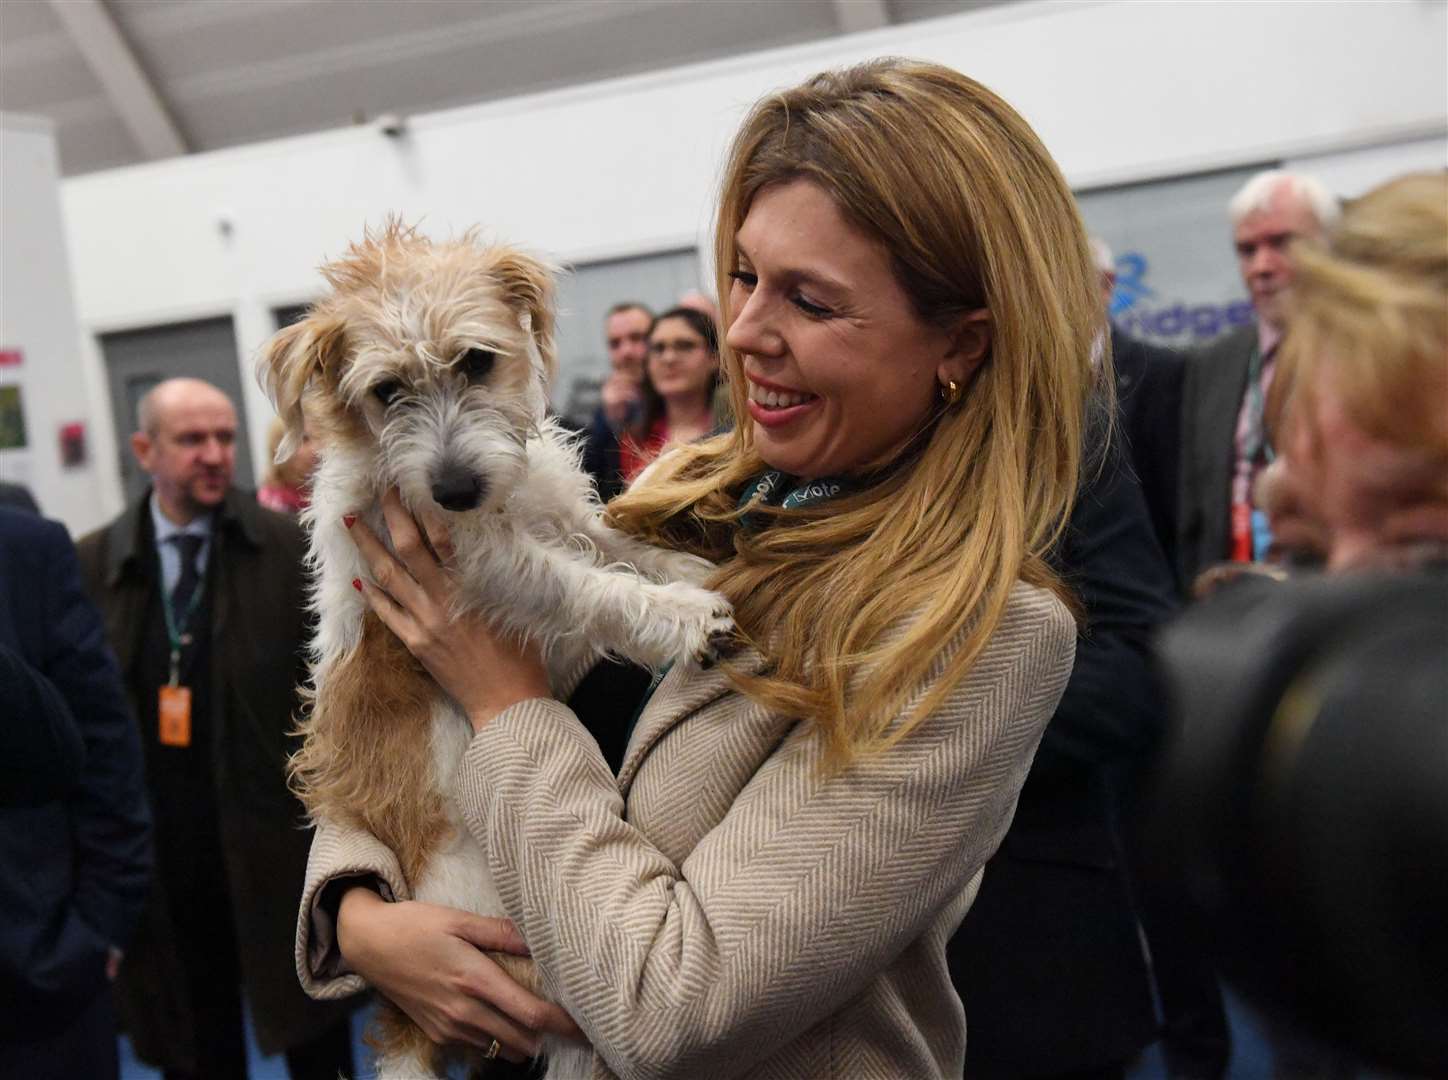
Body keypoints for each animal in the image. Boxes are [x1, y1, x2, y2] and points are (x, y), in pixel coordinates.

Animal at [259, 222, 729, 1071]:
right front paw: (681, 617)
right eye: (387, 392)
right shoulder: (485, 567)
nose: (454, 491)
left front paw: (690, 573)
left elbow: (615, 544)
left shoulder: (554, 508)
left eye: (477, 361)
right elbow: (587, 587)